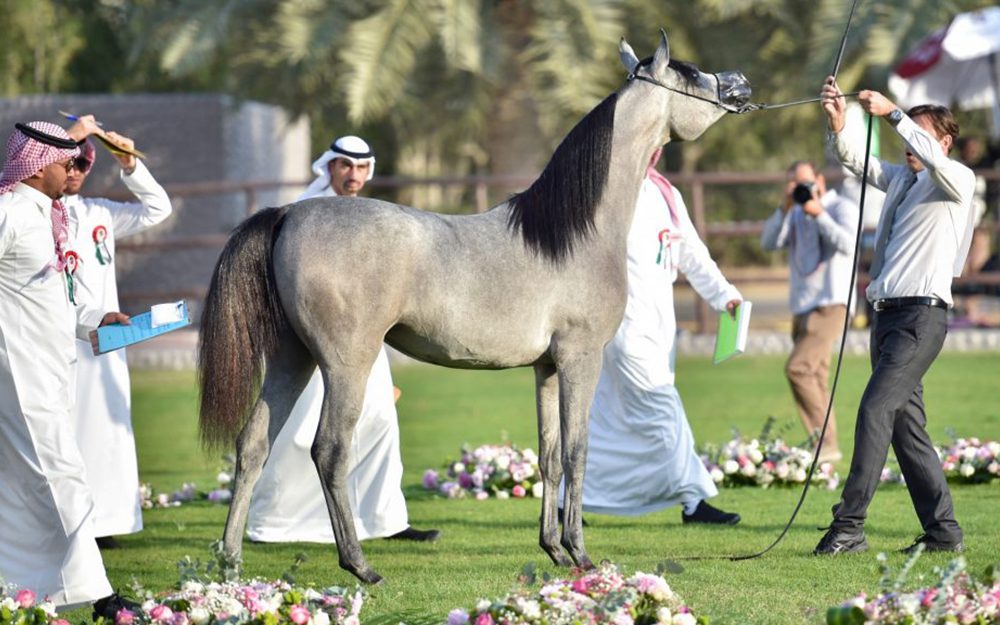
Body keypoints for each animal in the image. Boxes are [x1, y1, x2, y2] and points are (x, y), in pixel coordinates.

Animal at [199, 31, 752, 584]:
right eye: (690, 74)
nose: (740, 84)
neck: (574, 233)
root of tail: (288, 214)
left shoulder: (547, 368)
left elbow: (550, 455)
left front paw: (553, 549)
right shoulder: (580, 359)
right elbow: (578, 452)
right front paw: (579, 553)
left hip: (292, 358)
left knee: (253, 445)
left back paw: (230, 561)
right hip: (345, 364)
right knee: (330, 450)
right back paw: (360, 565)